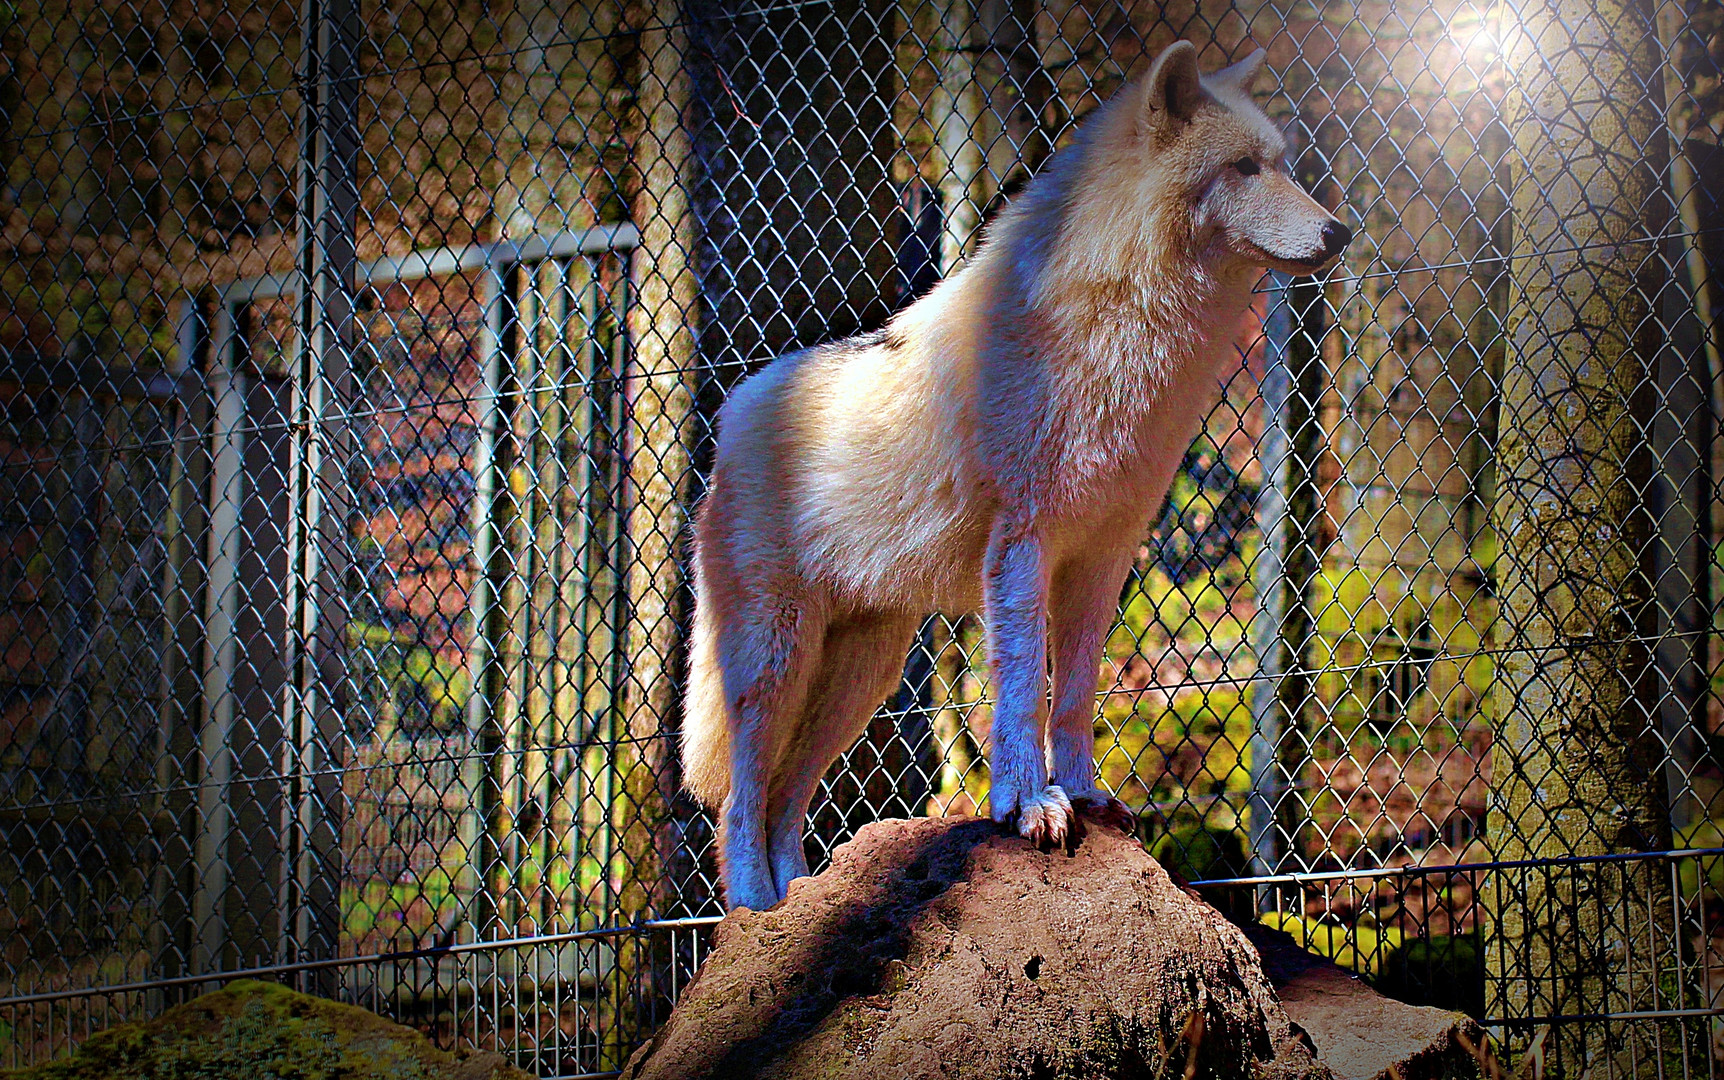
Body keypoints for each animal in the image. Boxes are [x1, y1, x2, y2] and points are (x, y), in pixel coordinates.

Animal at [682, 39, 1344, 910]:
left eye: (1281, 164)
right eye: (1242, 168)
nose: (1340, 230)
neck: (1123, 328)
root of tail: (732, 417)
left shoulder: (1103, 557)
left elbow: (1075, 696)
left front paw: (1086, 796)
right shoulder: (1024, 545)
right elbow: (1025, 688)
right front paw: (1029, 806)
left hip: (860, 677)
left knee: (787, 796)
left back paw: (804, 902)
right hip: (774, 663)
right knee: (742, 794)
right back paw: (756, 908)